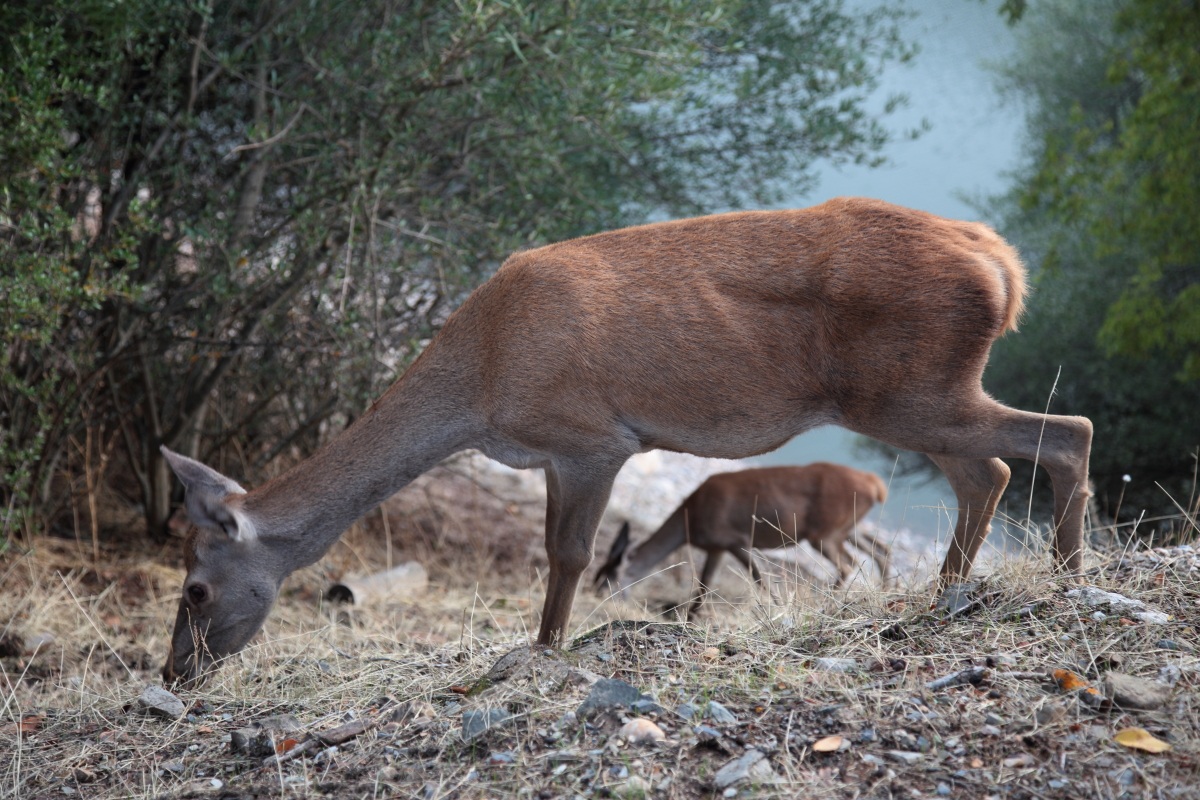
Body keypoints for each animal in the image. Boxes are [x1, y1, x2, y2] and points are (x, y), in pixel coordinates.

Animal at [593, 463, 892, 617]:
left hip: (825, 533)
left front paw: (779, 610)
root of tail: (875, 484)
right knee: (880, 549)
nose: (596, 597)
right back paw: (886, 590)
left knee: (848, 564)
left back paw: (828, 601)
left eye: (609, 577)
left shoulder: (733, 539)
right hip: (847, 527)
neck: (690, 520)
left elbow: (759, 578)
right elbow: (704, 585)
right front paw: (692, 616)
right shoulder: (715, 546)